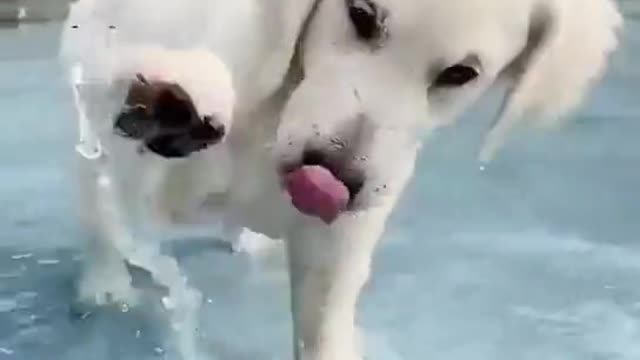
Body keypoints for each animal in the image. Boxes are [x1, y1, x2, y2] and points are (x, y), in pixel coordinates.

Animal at [60, 0, 620, 360]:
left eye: (460, 73)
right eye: (362, 15)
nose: (332, 176)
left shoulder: (344, 232)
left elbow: (322, 321)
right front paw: (184, 100)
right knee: (96, 206)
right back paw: (105, 285)